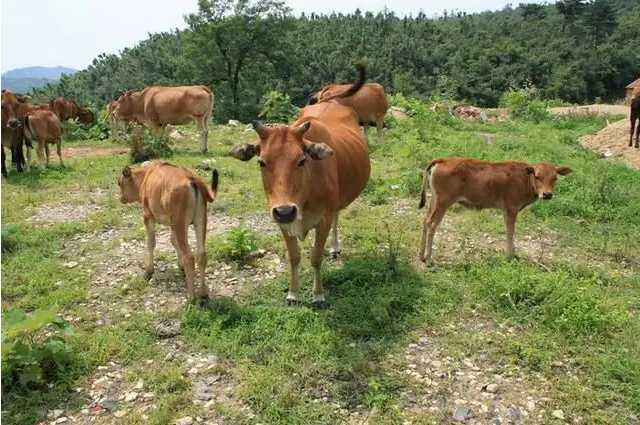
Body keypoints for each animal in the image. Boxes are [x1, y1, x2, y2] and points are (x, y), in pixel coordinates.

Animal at [117, 161, 220, 300]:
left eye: (119, 182)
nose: (121, 198)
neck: (145, 177)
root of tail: (192, 179)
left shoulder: (148, 216)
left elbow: (151, 243)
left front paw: (148, 271)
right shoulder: (172, 224)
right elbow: (173, 241)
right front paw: (180, 266)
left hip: (180, 223)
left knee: (190, 257)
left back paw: (191, 297)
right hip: (200, 220)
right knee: (201, 254)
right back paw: (203, 293)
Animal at [418, 156, 572, 262]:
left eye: (555, 178)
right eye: (537, 176)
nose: (547, 194)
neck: (524, 179)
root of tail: (444, 160)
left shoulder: (506, 210)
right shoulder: (511, 208)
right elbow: (510, 232)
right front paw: (510, 256)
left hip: (434, 201)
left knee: (425, 221)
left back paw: (421, 255)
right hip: (443, 203)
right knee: (432, 224)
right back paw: (429, 258)